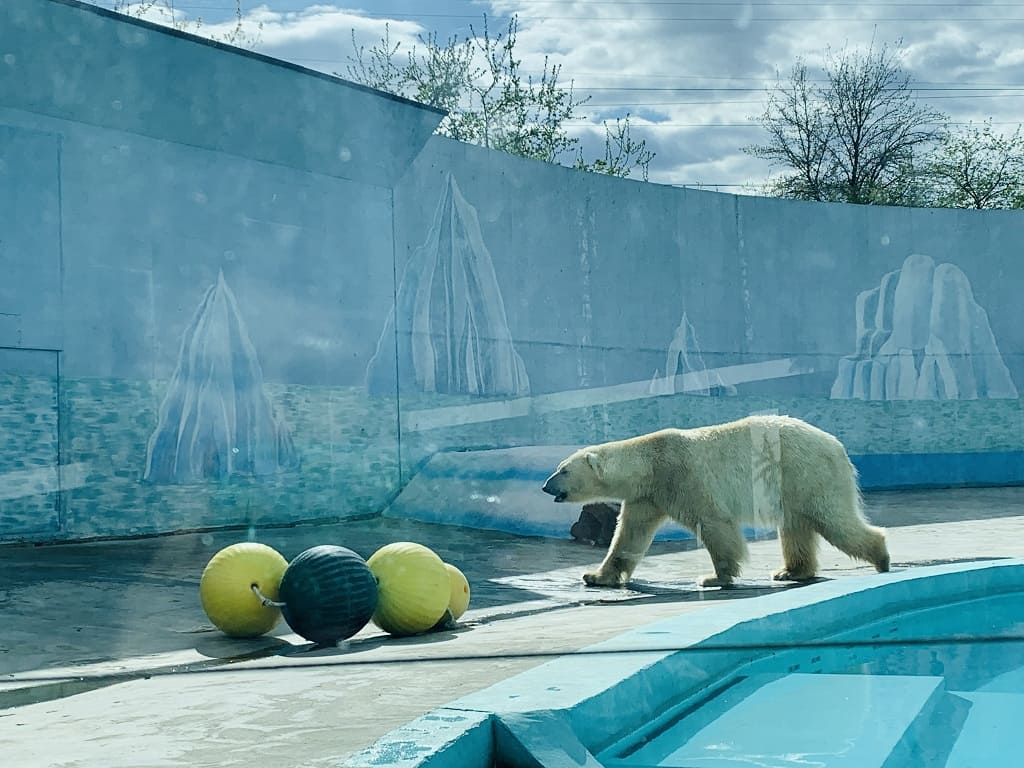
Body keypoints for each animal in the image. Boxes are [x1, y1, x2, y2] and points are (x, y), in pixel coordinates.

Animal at [544, 415, 888, 589]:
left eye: (563, 469)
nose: (546, 486)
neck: (650, 462)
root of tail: (836, 445)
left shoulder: (683, 478)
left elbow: (714, 524)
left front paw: (714, 577)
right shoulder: (648, 495)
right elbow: (629, 535)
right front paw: (596, 576)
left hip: (805, 472)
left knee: (833, 519)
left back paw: (881, 558)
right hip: (794, 486)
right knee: (796, 526)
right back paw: (790, 571)